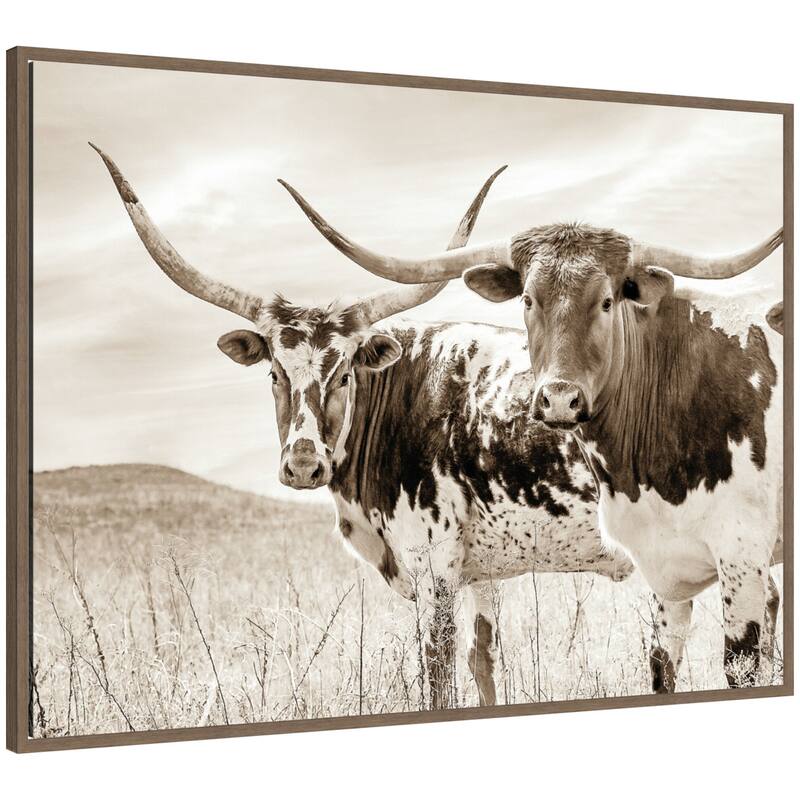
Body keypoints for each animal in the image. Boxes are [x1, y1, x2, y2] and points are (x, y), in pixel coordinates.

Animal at [91, 144, 633, 710]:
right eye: (274, 373)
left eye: (345, 373)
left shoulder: (434, 569)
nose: (303, 465)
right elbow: (485, 664)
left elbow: (440, 678)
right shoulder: (482, 573)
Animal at [280, 179, 784, 691]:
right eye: (527, 299)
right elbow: (485, 657)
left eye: (607, 301)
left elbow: (439, 671)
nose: (559, 399)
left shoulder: (434, 567)